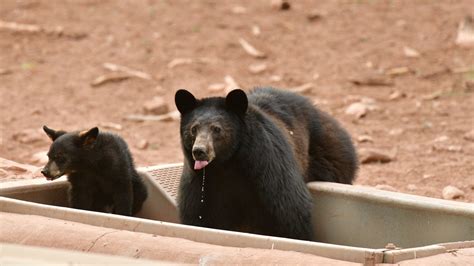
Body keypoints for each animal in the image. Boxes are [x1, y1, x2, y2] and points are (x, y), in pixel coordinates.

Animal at [176, 88, 358, 241]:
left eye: (217, 129)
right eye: (193, 129)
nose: (199, 151)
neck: (227, 164)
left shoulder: (268, 163)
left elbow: (291, 207)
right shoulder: (200, 182)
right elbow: (197, 214)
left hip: (331, 156)